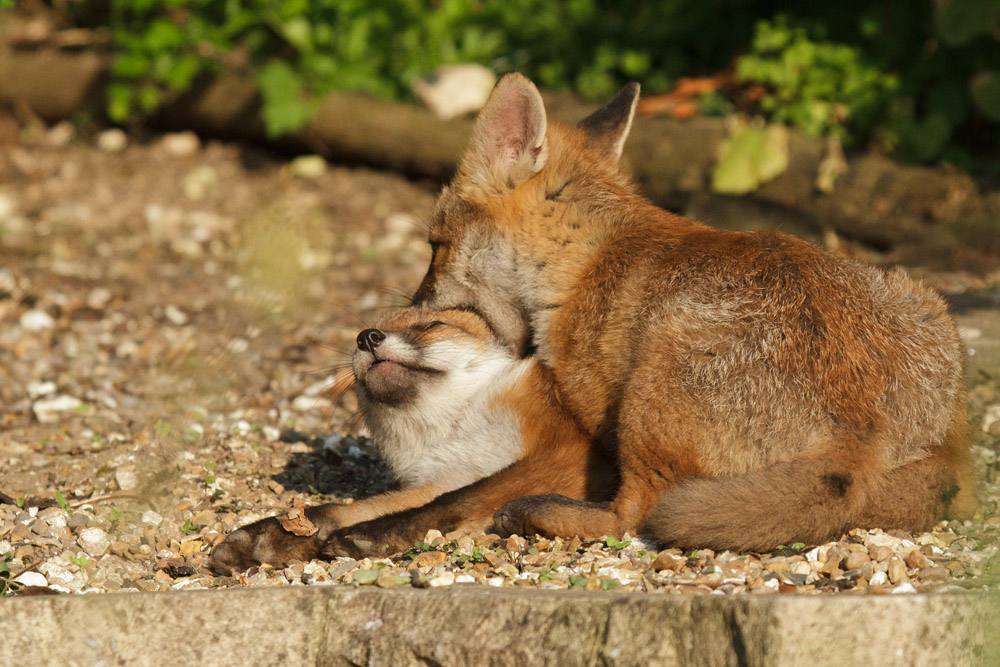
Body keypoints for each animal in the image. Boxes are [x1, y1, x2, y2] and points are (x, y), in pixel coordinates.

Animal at [211, 307, 614, 571]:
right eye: (363, 335)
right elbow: (353, 508)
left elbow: (456, 501)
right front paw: (278, 534)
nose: (366, 337)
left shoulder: (569, 454)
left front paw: (374, 535)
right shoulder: (444, 475)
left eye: (431, 325)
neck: (458, 430)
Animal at [386, 73, 976, 553]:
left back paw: (535, 514)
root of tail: (862, 427)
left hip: (649, 386)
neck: (585, 266)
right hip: (924, 302)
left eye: (436, 247)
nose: (408, 312)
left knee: (634, 517)